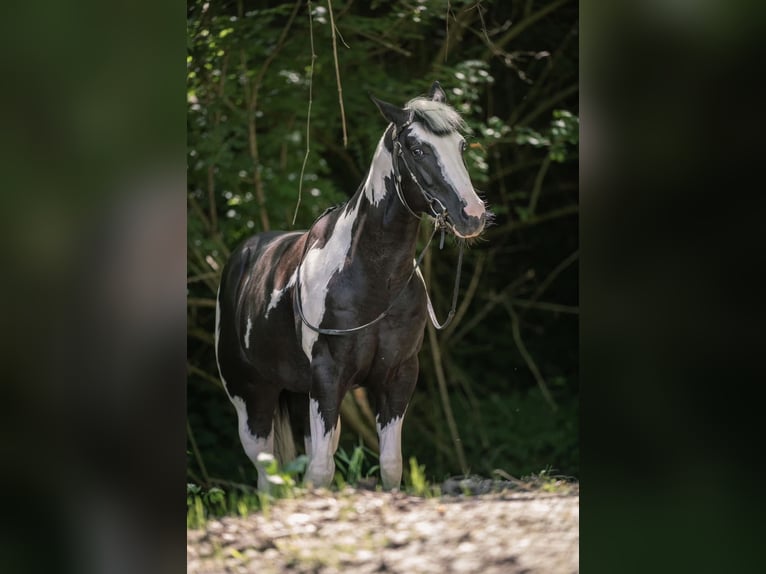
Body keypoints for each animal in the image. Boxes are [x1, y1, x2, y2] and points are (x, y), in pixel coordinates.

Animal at [215, 81, 488, 491]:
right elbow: (322, 471)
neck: (372, 280)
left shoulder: (397, 376)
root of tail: (244, 256)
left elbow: (390, 465)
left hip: (299, 396)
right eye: (417, 149)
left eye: (461, 146)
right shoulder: (329, 379)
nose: (472, 215)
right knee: (268, 476)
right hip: (250, 397)